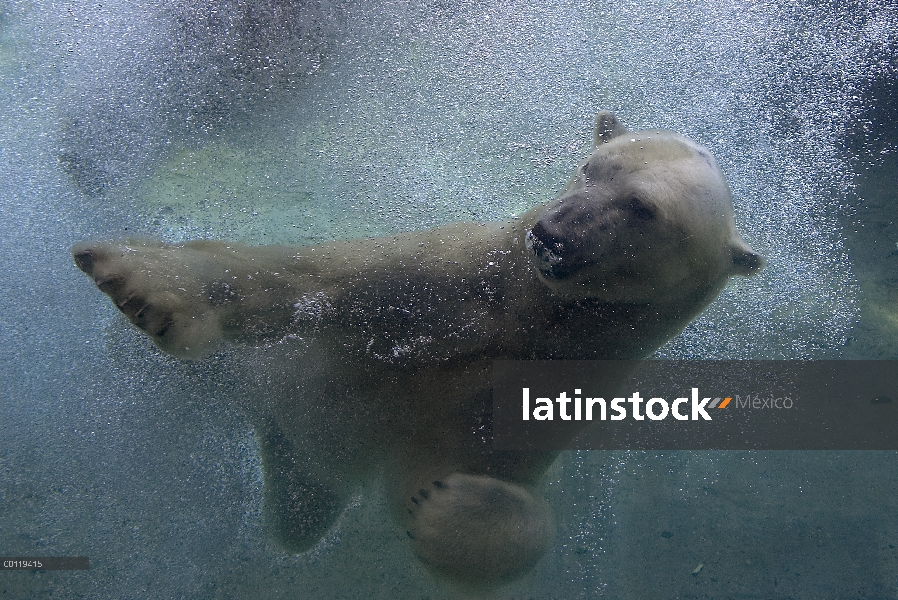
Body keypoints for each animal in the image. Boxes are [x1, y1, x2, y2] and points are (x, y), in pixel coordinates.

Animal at [72, 111, 764, 584]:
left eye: (643, 209)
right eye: (591, 168)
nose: (553, 233)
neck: (527, 319)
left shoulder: (545, 387)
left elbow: (444, 478)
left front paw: (451, 507)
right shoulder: (454, 276)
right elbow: (309, 280)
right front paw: (140, 280)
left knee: (300, 503)